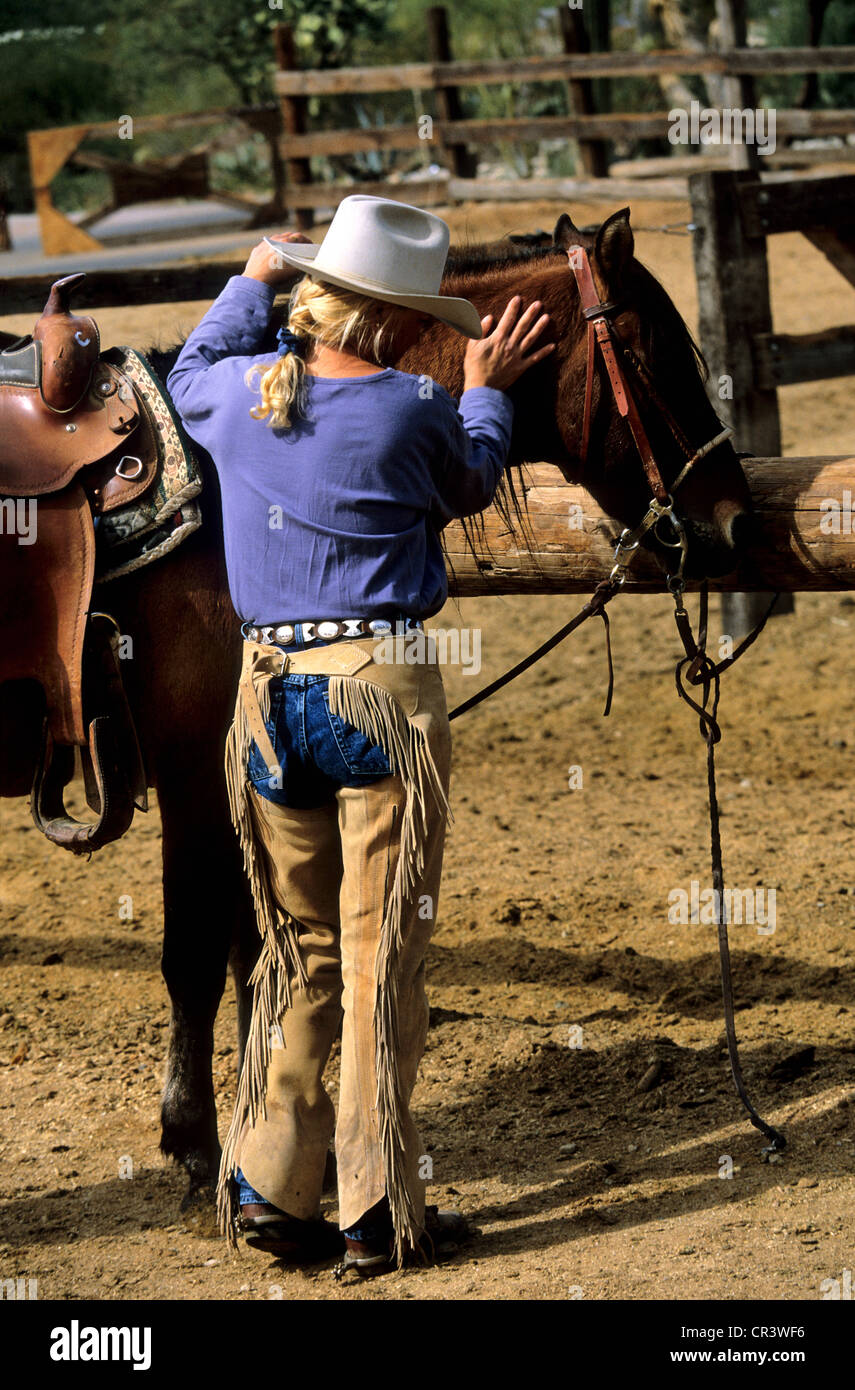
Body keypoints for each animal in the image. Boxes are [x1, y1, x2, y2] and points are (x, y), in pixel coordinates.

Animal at [0, 208, 750, 1217]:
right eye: (647, 347)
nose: (734, 519)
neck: (225, 488)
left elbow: (258, 946)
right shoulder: (196, 771)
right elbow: (195, 950)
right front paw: (196, 1144)